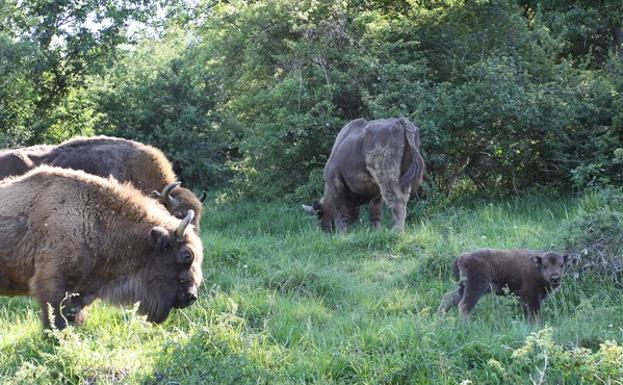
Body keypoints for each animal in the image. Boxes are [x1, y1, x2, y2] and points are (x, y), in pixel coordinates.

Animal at [0, 165, 204, 328]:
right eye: (186, 255)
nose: (191, 297)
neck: (94, 218)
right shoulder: (53, 287)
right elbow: (56, 320)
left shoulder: (84, 292)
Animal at [438, 249, 572, 320]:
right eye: (545, 265)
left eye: (561, 265)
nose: (555, 278)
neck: (536, 268)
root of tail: (462, 257)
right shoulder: (532, 298)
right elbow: (534, 315)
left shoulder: (524, 300)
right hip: (475, 288)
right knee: (464, 306)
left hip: (462, 288)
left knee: (448, 297)